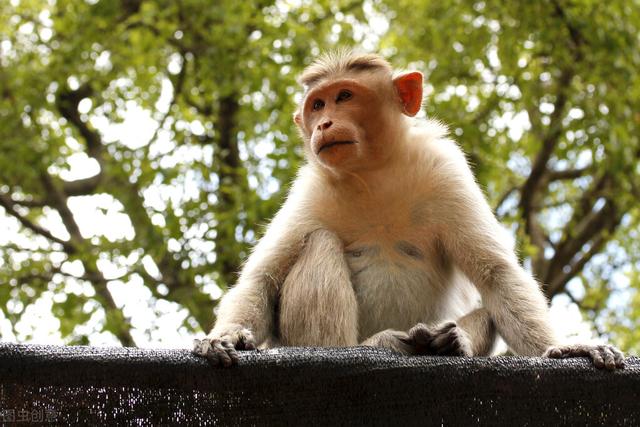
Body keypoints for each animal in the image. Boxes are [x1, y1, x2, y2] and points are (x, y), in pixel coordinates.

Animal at [194, 50, 624, 372]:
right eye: (316, 104)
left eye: (344, 96)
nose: (324, 123)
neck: (374, 174)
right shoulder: (310, 190)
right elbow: (262, 279)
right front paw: (228, 335)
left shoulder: (446, 170)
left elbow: (496, 274)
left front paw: (562, 349)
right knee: (319, 242)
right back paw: (376, 345)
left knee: (486, 311)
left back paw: (446, 342)